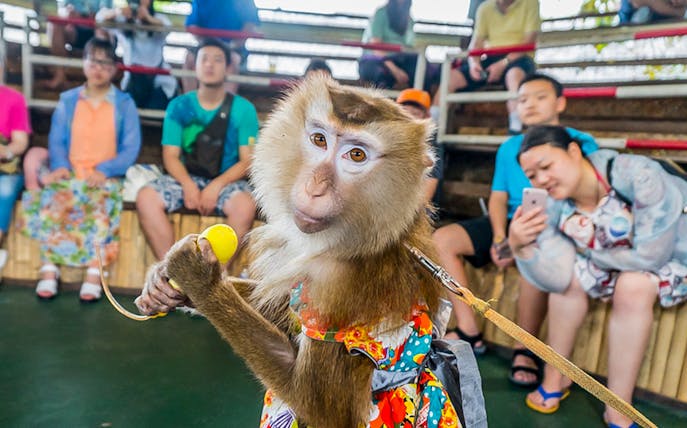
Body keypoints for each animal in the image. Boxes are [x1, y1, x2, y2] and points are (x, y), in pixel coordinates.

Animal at [138, 75, 466, 427]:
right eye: (319, 139)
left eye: (357, 155)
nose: (315, 188)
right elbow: (279, 302)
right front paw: (164, 285)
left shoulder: (338, 285)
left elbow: (320, 408)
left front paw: (201, 281)